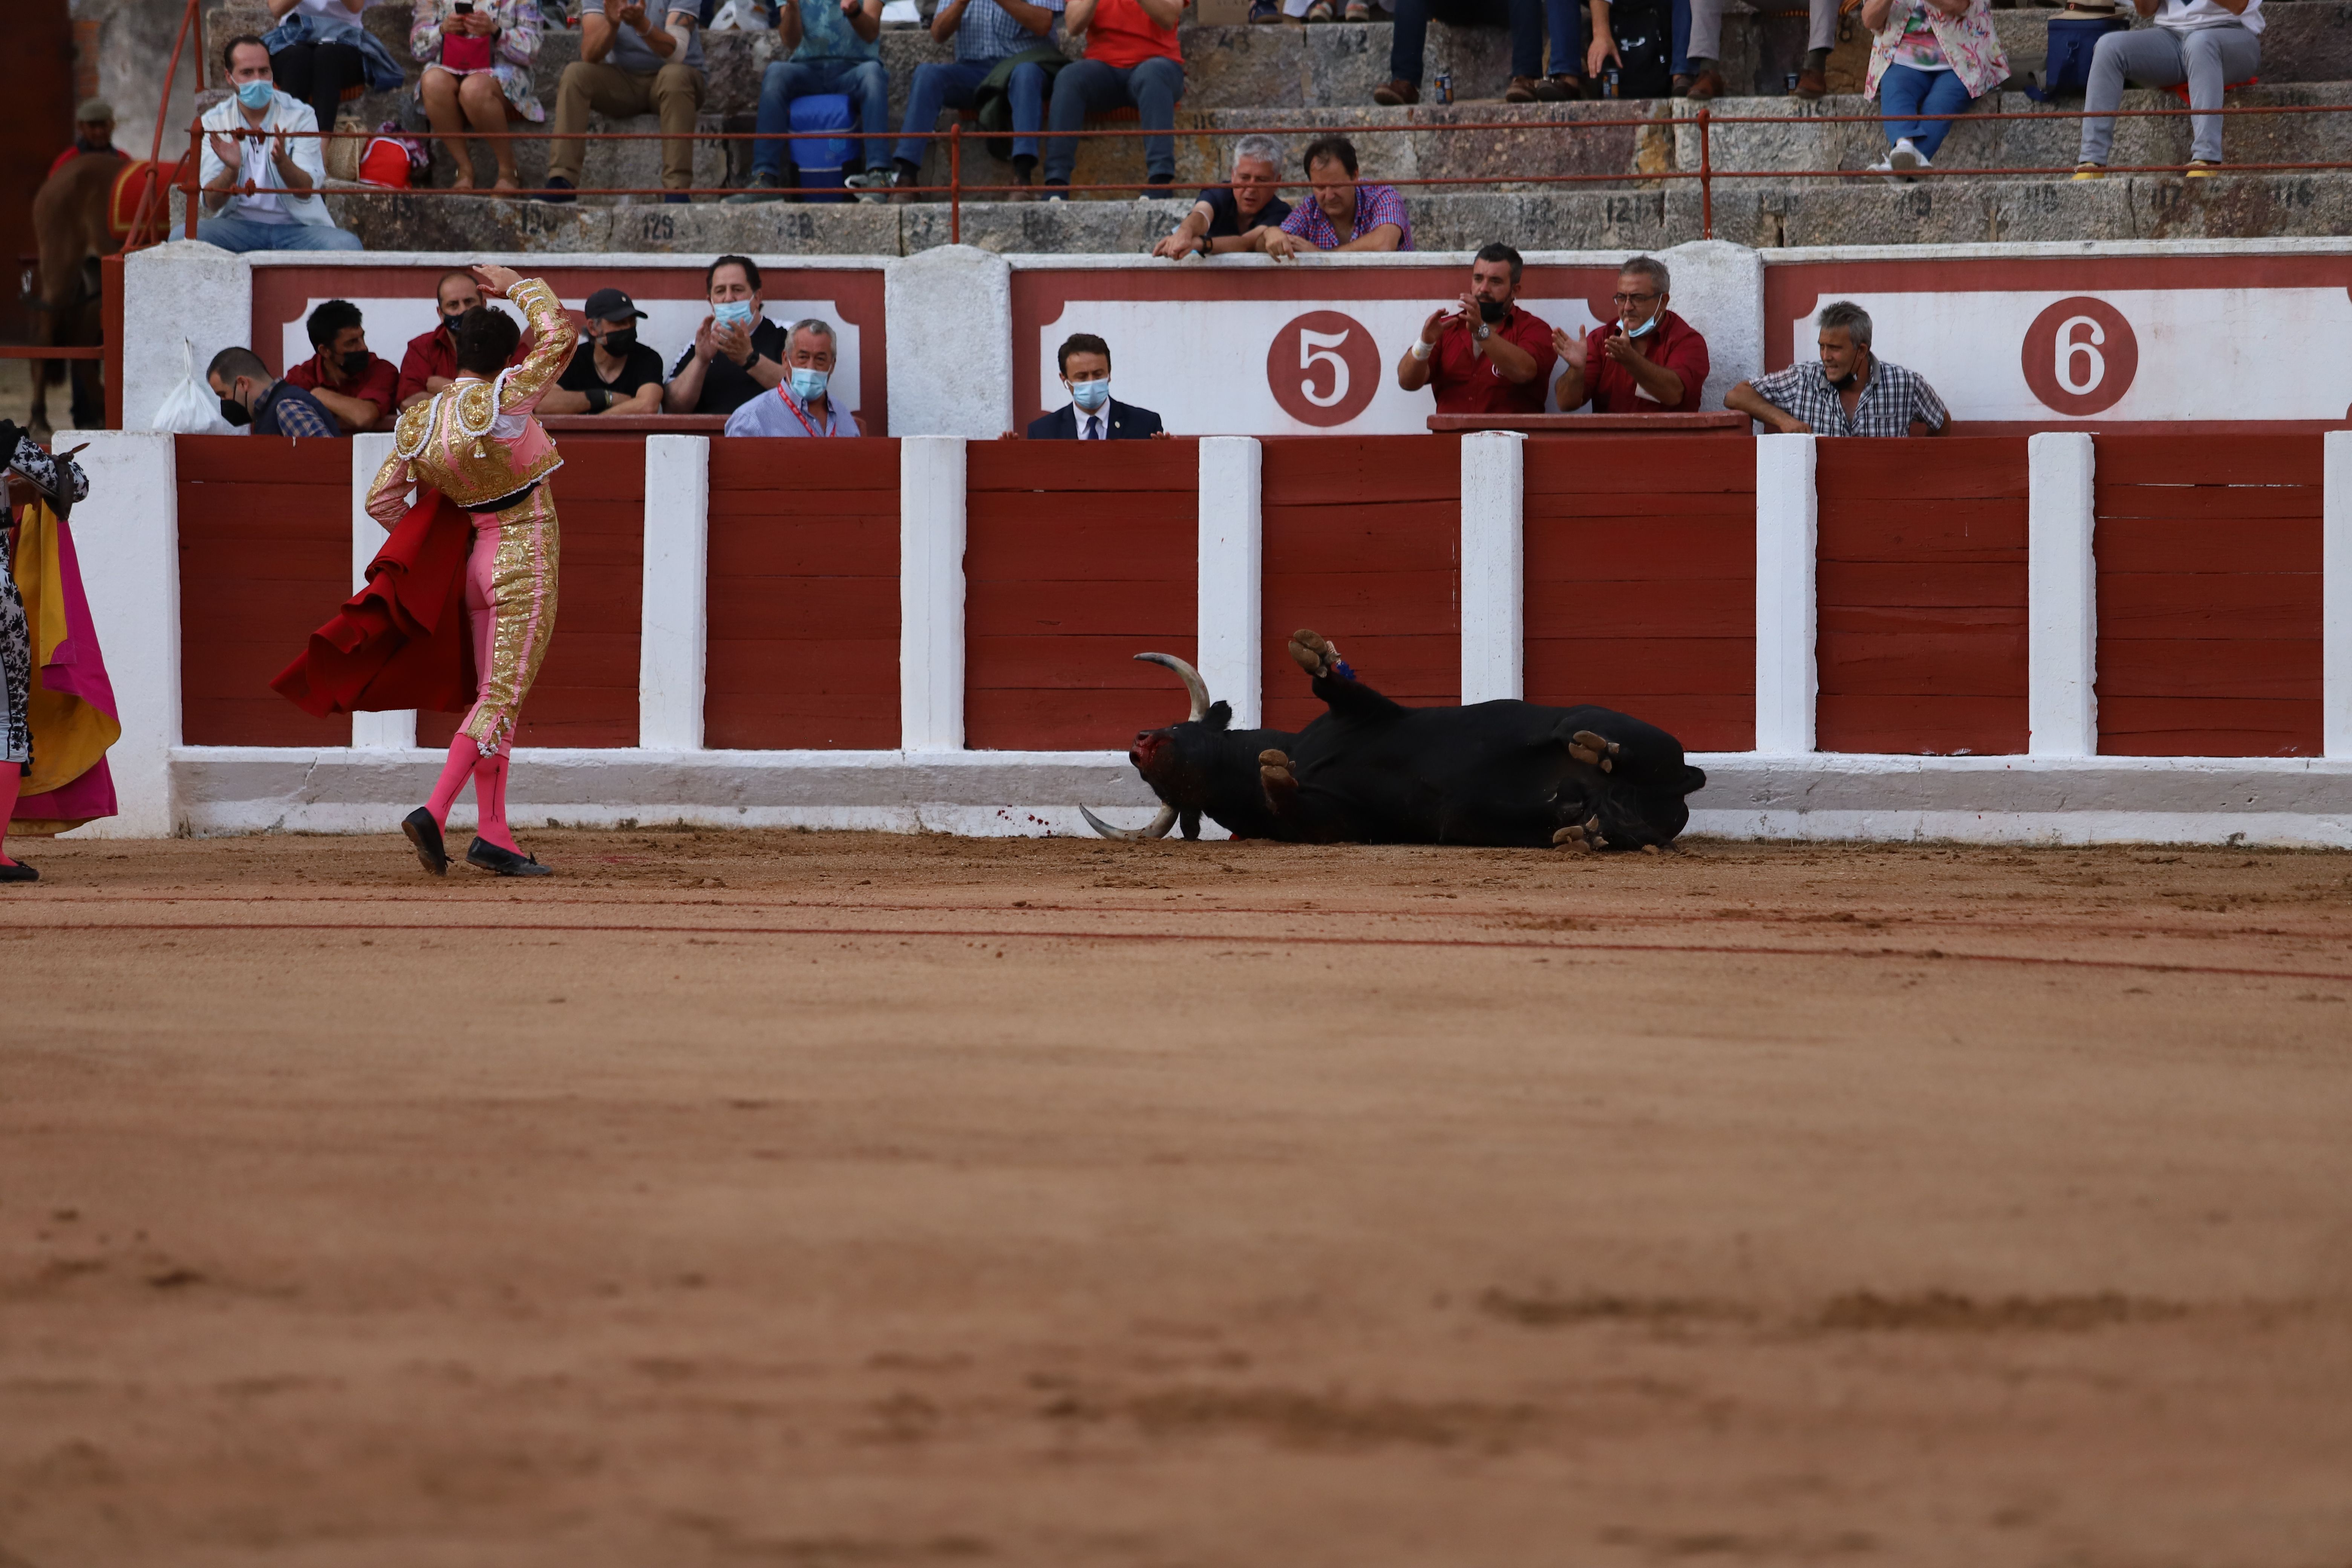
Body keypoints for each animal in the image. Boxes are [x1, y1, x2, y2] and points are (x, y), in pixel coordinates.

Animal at [1082, 630, 1712, 860]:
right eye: (1158, 788)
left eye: (1183, 729)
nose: (1138, 743)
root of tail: (1686, 784)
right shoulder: (1337, 825)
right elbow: (1296, 801)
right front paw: (1276, 774)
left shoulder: (1370, 711)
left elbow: (1337, 684)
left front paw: (1314, 652)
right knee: (1616, 823)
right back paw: (1582, 826)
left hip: (1617, 726)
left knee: (1589, 735)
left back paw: (1592, 750)